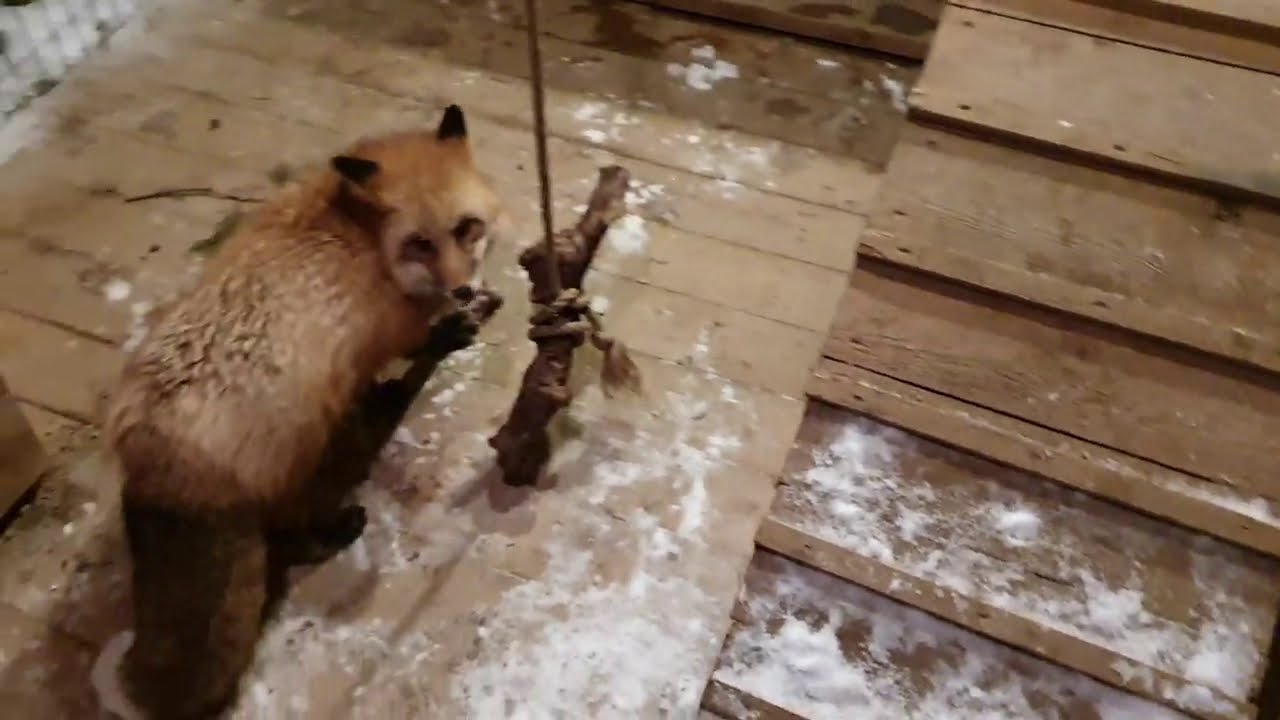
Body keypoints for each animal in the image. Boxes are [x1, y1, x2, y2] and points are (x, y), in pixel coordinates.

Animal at [98, 105, 505, 719]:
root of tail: (149, 455)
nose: (461, 289)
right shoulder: (392, 330)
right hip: (303, 457)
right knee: (292, 539)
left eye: (465, 228)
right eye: (420, 244)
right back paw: (338, 526)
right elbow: (423, 343)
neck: (364, 240)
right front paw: (453, 330)